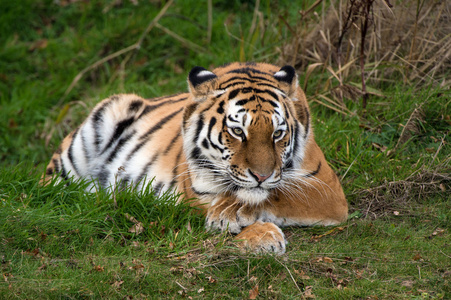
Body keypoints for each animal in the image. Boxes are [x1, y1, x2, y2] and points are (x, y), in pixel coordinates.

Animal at [44, 62, 350, 253]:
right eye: (237, 131)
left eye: (277, 134)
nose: (261, 176)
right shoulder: (195, 194)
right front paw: (262, 234)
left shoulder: (326, 188)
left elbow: (279, 195)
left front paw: (237, 215)